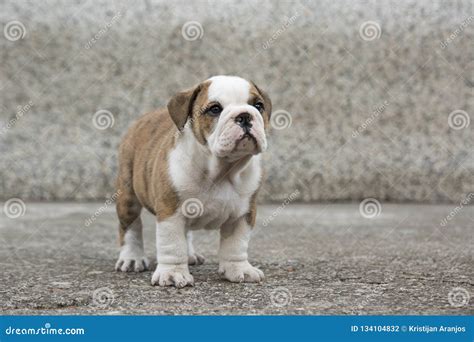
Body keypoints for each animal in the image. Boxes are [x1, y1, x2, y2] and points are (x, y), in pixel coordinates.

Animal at [113, 76, 272, 288]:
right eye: (215, 109)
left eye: (258, 105)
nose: (245, 116)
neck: (223, 170)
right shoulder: (170, 211)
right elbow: (172, 244)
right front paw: (172, 274)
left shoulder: (243, 214)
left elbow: (236, 244)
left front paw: (239, 269)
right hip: (127, 195)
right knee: (131, 227)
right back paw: (132, 258)